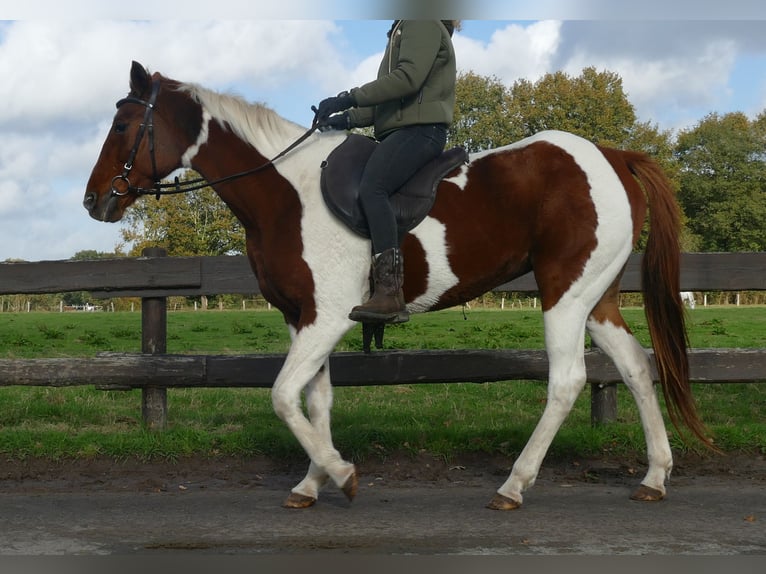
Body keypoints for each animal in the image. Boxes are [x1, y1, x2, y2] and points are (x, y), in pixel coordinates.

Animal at [81, 64, 712, 512]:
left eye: (122, 126)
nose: (93, 200)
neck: (285, 193)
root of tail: (613, 155)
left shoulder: (328, 317)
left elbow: (283, 396)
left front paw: (340, 474)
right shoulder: (302, 318)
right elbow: (315, 398)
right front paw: (312, 481)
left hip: (565, 292)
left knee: (568, 381)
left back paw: (514, 484)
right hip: (596, 297)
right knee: (635, 366)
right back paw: (654, 476)